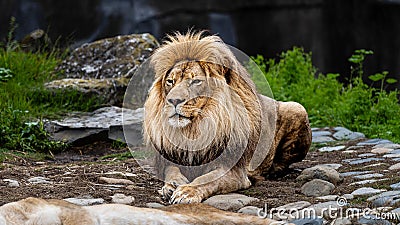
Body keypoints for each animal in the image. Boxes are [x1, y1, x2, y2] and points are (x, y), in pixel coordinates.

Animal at [142, 30, 310, 205]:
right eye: (170, 81)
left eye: (195, 81)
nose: (173, 100)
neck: (194, 129)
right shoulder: (170, 159)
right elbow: (171, 172)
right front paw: (172, 185)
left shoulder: (234, 171)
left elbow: (207, 179)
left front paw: (186, 192)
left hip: (297, 107)